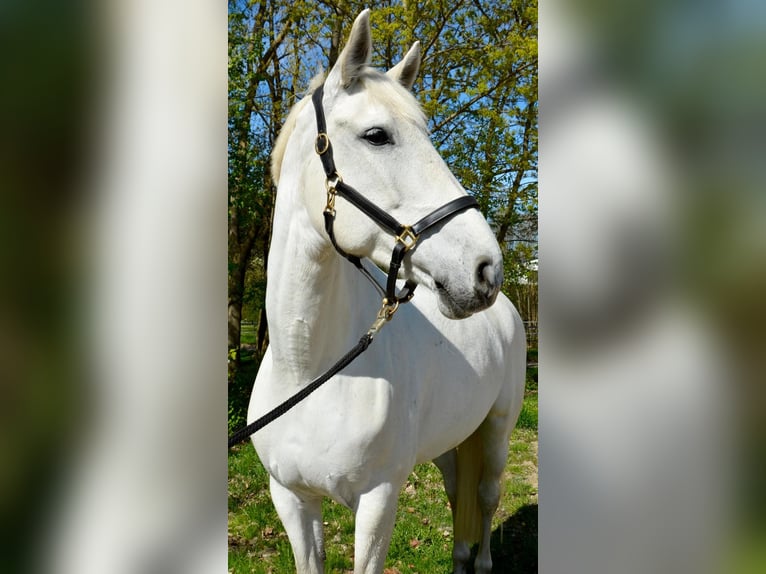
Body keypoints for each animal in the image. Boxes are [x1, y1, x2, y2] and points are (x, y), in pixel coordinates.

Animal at [248, 10, 526, 574]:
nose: (485, 270)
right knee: (455, 492)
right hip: (450, 439)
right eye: (377, 135)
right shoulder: (292, 500)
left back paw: (482, 561)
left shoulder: (377, 503)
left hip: (497, 431)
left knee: (485, 496)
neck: (308, 370)